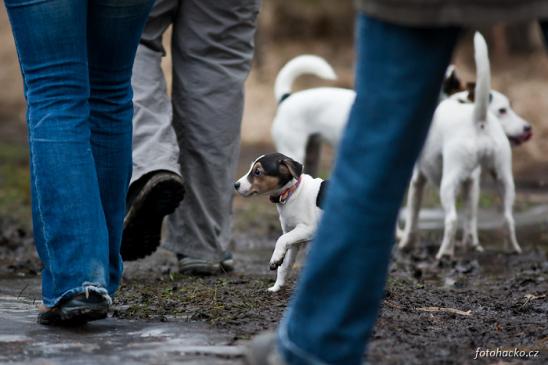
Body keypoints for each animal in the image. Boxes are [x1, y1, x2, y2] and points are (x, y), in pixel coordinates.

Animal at [233, 152, 328, 292]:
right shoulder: (293, 239)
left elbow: (281, 239)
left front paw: (275, 258)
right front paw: (277, 286)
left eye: (257, 172)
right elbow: (285, 266)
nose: (235, 185)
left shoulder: (308, 228)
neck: (292, 193)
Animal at [396, 32, 532, 258]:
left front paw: (406, 244)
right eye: (503, 110)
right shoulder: (472, 183)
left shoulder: (417, 181)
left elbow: (413, 219)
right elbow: (471, 220)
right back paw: (512, 248)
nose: (528, 128)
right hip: (504, 179)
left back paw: (444, 253)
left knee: (451, 220)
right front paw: (472, 244)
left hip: (447, 184)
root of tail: (478, 118)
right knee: (507, 219)